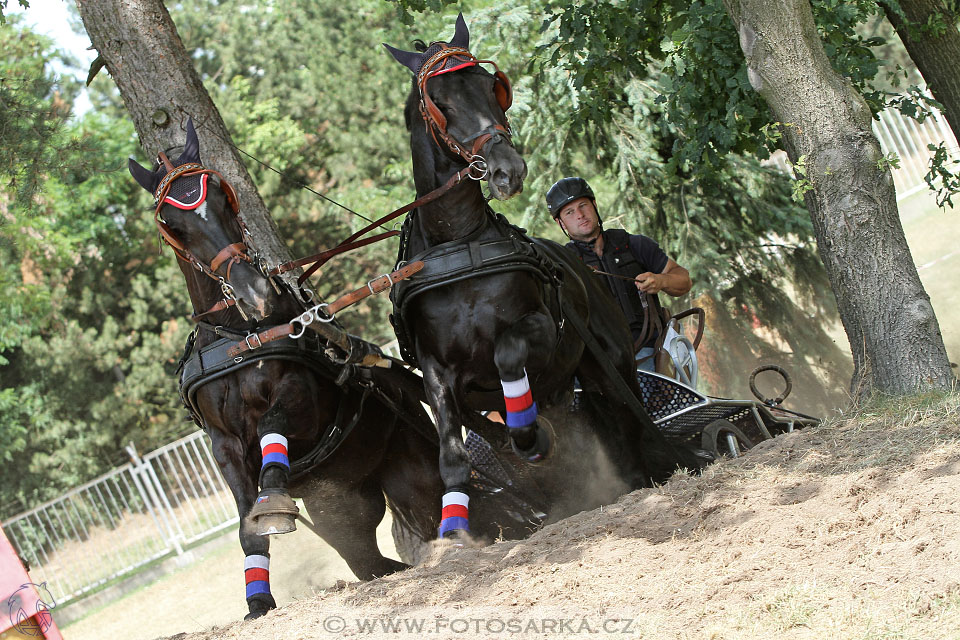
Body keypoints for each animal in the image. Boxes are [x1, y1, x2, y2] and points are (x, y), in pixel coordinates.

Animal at [128, 119, 458, 616]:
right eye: (174, 224)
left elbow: (272, 426)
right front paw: (258, 601)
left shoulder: (304, 401)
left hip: (416, 472)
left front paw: (275, 496)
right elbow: (247, 527)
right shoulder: (223, 445)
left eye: (223, 197)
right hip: (345, 509)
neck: (239, 336)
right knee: (369, 563)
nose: (254, 291)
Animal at [386, 15, 700, 540]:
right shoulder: (436, 370)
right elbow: (452, 454)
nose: (506, 170)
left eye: (491, 87)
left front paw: (532, 440)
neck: (461, 245)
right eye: (440, 103)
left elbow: (509, 355)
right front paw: (457, 533)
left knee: (627, 411)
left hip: (610, 361)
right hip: (561, 382)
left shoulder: (540, 328)